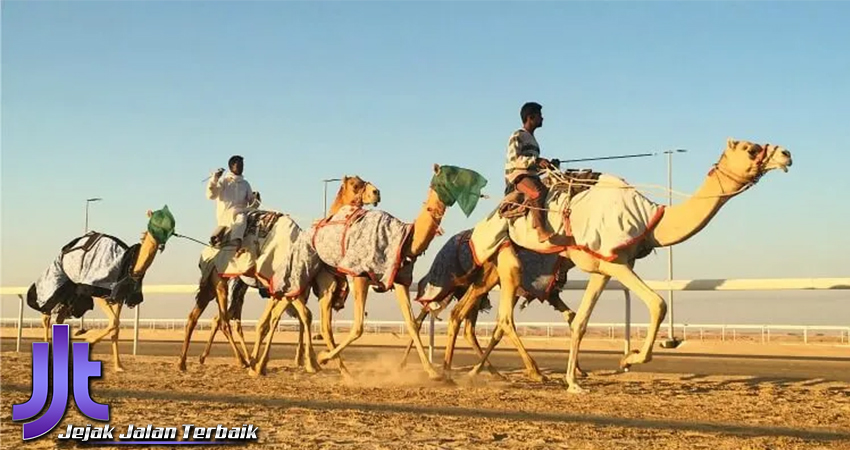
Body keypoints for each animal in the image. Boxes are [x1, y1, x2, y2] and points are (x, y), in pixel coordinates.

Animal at [26, 206, 176, 370]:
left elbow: (115, 327)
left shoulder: (118, 297)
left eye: (171, 223)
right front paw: (89, 341)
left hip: (71, 293)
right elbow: (114, 323)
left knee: (59, 319)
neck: (127, 263)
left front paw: (119, 366)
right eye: (155, 222)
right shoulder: (97, 289)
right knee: (46, 315)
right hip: (56, 281)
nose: (162, 243)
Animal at [177, 176, 380, 372]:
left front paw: (304, 361)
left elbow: (288, 320)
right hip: (219, 280)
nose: (376, 193)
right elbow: (301, 317)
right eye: (355, 184)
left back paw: (192, 361)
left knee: (207, 317)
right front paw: (308, 362)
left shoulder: (293, 290)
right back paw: (236, 360)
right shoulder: (289, 287)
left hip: (222, 285)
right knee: (223, 320)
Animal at [308, 163, 486, 380]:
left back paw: (340, 369)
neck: (406, 239)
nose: (376, 192)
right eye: (355, 184)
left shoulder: (400, 281)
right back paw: (331, 364)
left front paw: (432, 371)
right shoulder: (360, 275)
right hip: (328, 280)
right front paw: (323, 357)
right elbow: (358, 327)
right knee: (326, 325)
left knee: (326, 325)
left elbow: (412, 323)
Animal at [464, 139, 788, 392]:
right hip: (508, 258)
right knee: (505, 318)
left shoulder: (604, 266)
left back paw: (478, 372)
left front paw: (574, 382)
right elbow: (659, 304)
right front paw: (627, 359)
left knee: (496, 319)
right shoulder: (617, 261)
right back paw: (526, 372)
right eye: (750, 148)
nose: (786, 154)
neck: (650, 219)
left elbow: (580, 322)